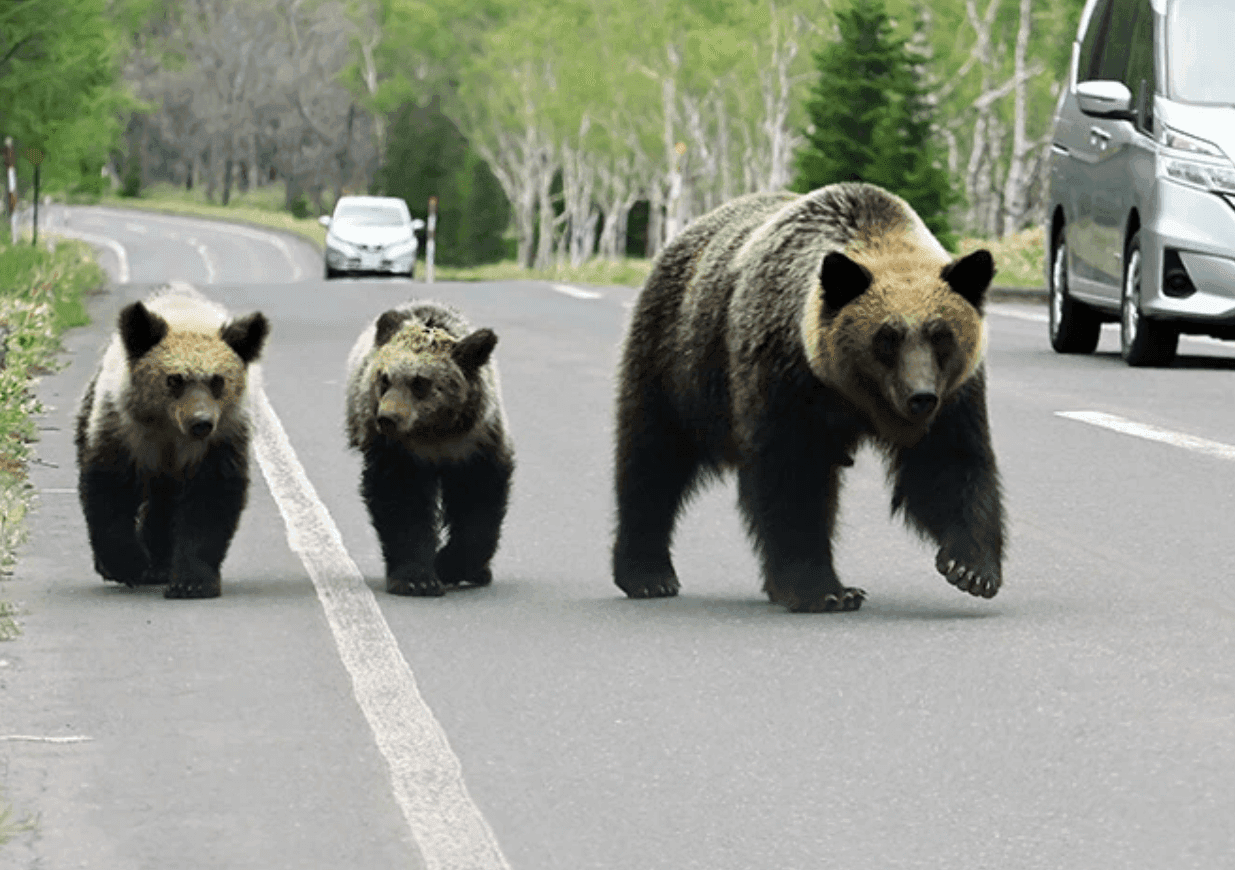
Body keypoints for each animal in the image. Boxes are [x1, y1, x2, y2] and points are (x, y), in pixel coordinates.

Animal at [76, 287, 269, 599]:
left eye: (218, 380)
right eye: (174, 379)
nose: (201, 422)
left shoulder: (220, 440)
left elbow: (209, 501)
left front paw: (192, 582)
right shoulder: (123, 429)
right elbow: (110, 490)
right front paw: (127, 564)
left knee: (164, 507)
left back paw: (160, 563)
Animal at [345, 300, 514, 597]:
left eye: (420, 382)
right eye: (384, 379)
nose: (387, 418)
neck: (434, 434)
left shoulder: (477, 441)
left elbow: (479, 498)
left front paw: (452, 566)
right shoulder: (396, 451)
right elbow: (402, 502)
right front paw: (417, 579)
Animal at [612, 182, 1004, 612]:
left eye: (941, 335)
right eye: (886, 337)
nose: (921, 397)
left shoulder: (955, 393)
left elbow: (947, 463)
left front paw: (971, 568)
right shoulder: (784, 374)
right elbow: (792, 476)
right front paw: (825, 590)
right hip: (679, 358)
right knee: (653, 457)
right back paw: (648, 575)